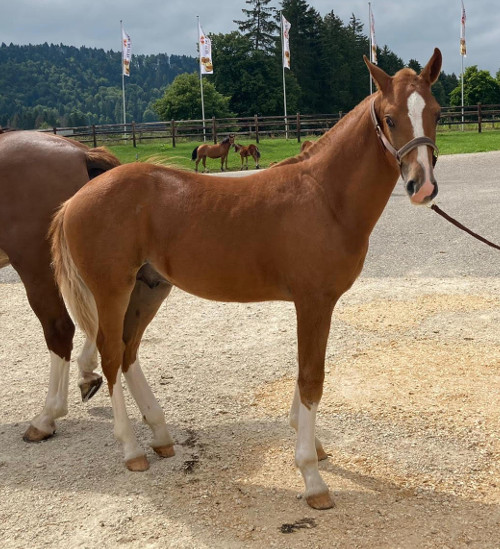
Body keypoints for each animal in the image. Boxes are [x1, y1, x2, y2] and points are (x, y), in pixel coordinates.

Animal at [49, 50, 442, 510]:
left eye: (435, 113)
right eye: (391, 118)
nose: (422, 187)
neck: (325, 197)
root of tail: (74, 200)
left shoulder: (315, 304)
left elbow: (305, 372)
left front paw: (312, 444)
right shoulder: (313, 301)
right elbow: (312, 378)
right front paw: (312, 477)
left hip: (150, 289)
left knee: (129, 352)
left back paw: (161, 437)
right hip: (112, 290)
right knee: (111, 355)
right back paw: (132, 450)